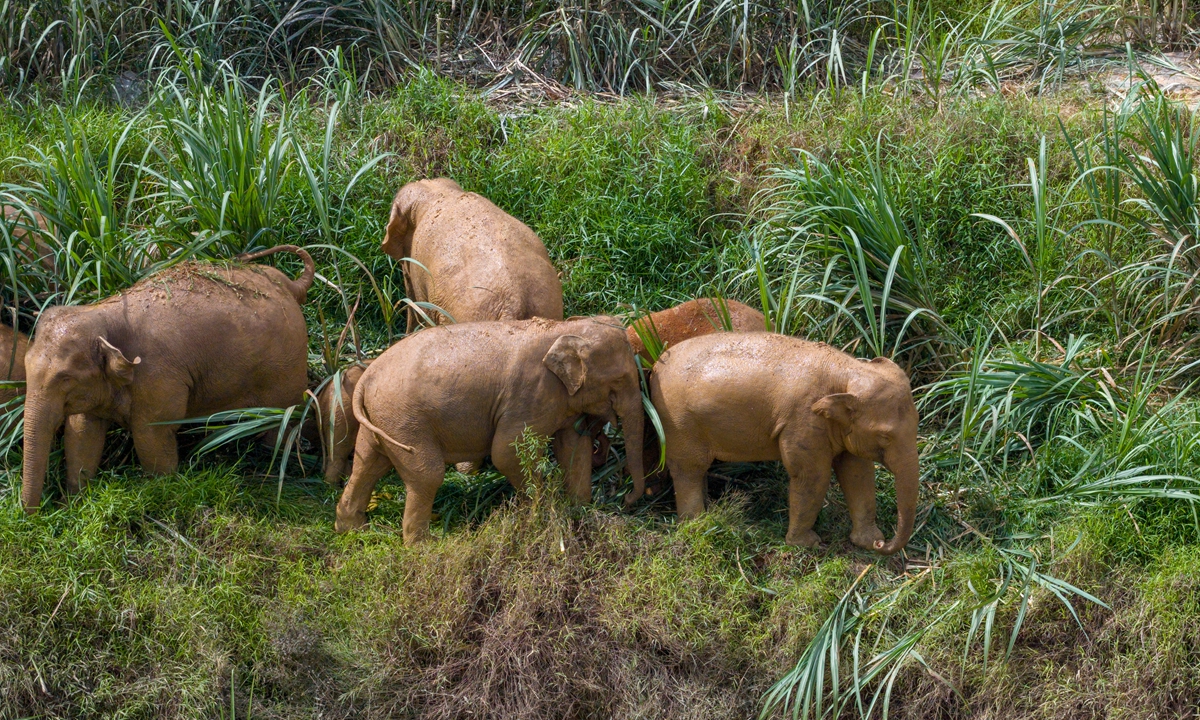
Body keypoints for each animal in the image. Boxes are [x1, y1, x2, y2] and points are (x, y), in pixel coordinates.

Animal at [20, 245, 314, 512]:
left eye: (65, 378)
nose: (33, 515)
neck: (101, 313)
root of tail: (287, 284)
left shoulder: (156, 377)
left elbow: (151, 437)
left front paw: (160, 492)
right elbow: (82, 434)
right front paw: (75, 503)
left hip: (288, 364)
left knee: (280, 421)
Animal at [335, 317, 645, 543]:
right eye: (619, 381)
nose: (627, 500)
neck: (563, 328)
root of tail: (367, 376)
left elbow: (572, 447)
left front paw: (579, 511)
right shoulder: (530, 395)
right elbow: (506, 453)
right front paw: (539, 517)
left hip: (383, 419)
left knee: (368, 464)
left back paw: (353, 529)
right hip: (405, 420)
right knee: (427, 474)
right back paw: (423, 545)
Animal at [648, 332, 920, 555]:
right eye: (885, 436)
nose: (883, 544)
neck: (847, 370)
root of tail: (655, 366)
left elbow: (857, 473)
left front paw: (866, 541)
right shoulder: (803, 419)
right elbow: (812, 475)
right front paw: (808, 544)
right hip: (678, 422)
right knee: (689, 469)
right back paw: (696, 524)